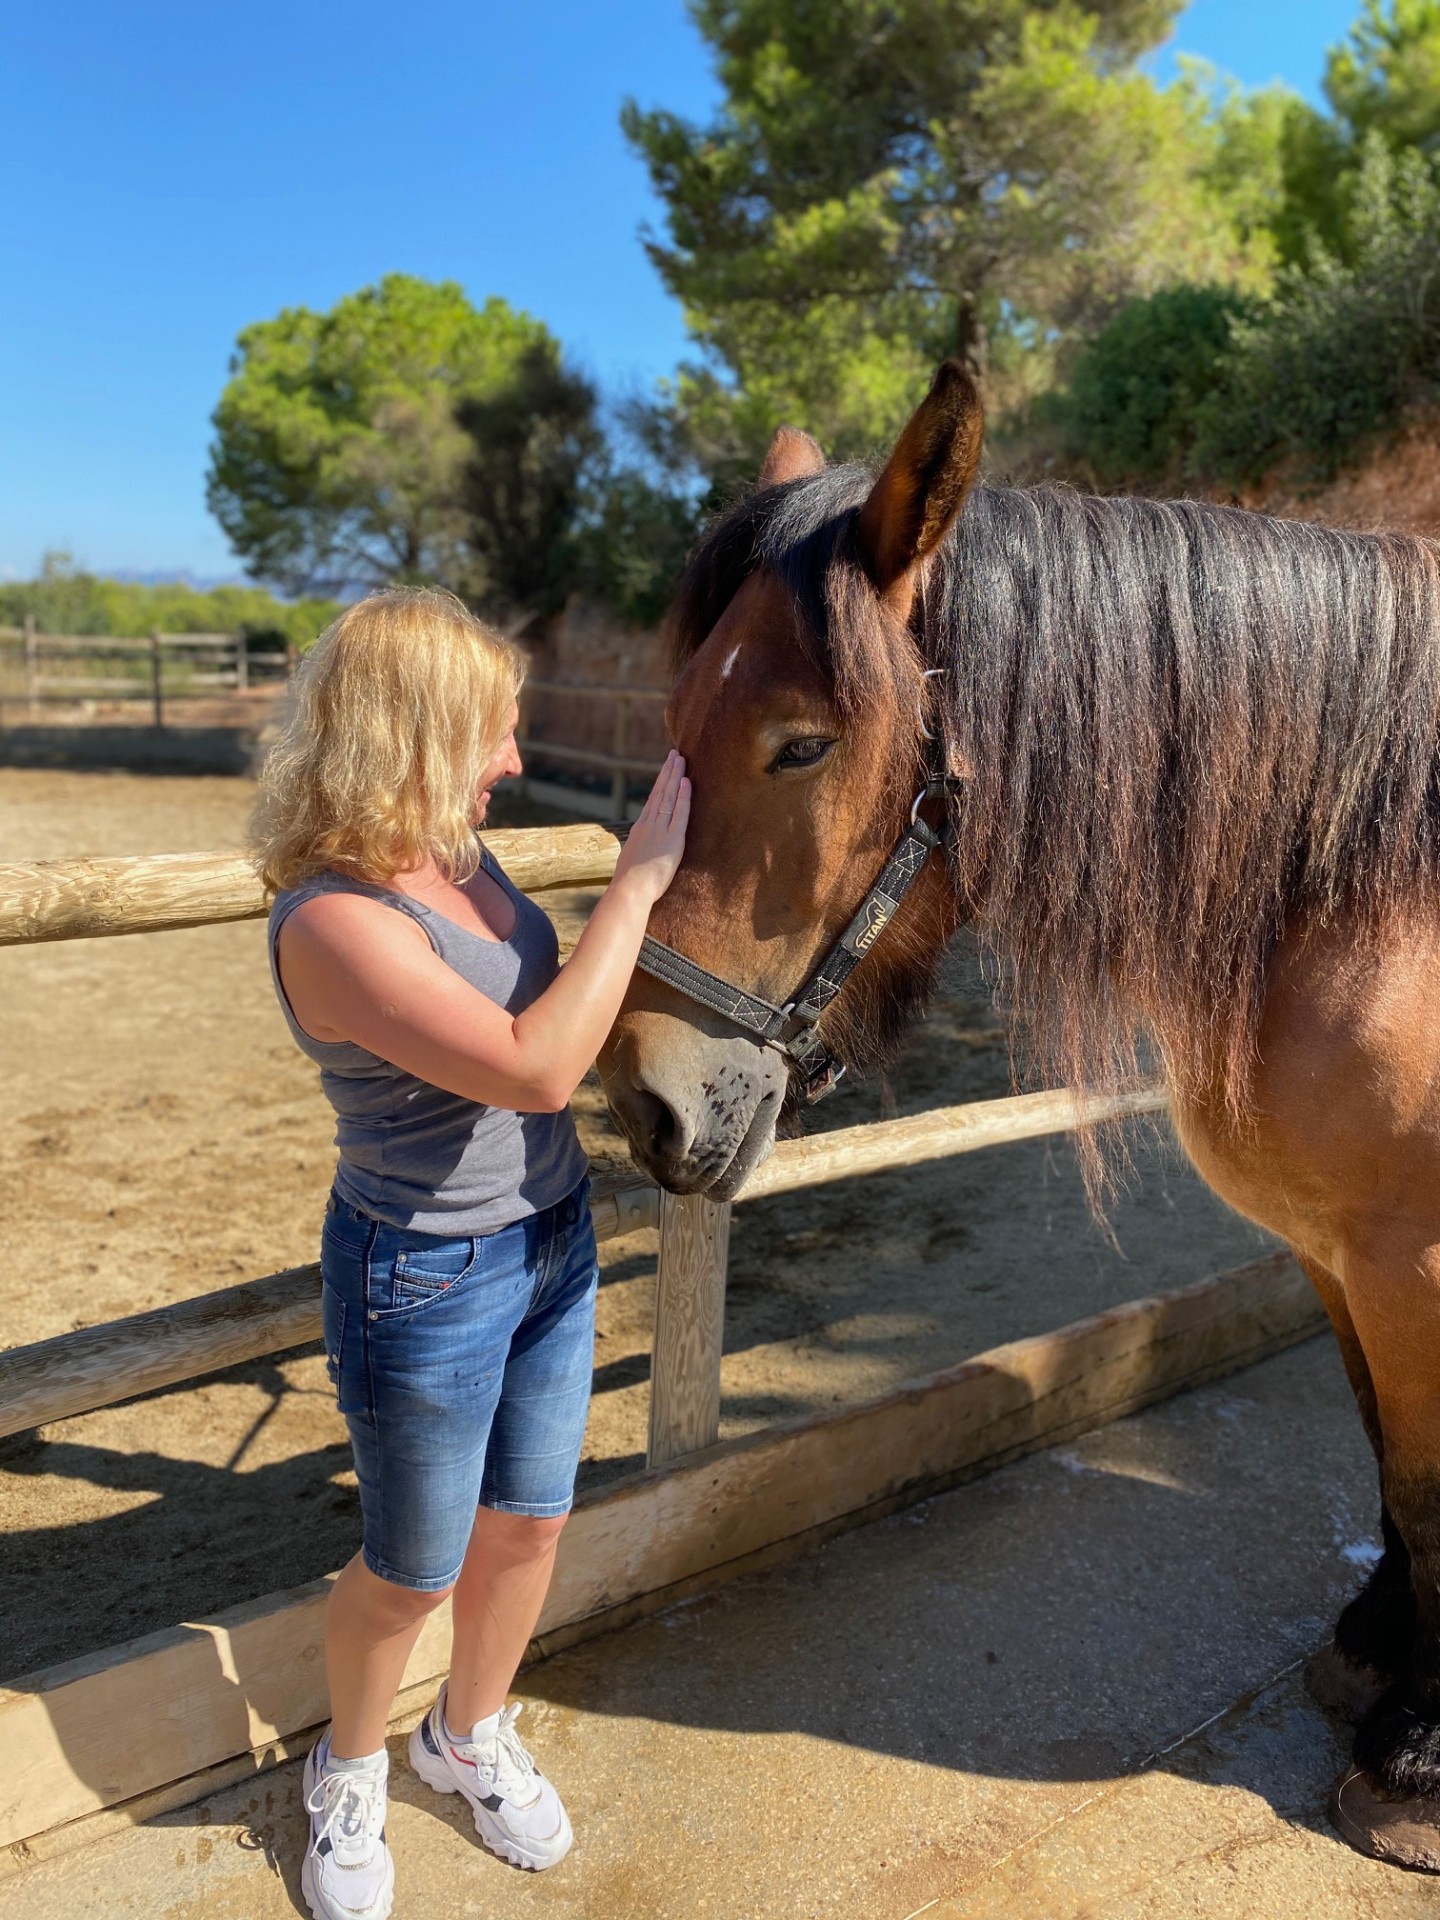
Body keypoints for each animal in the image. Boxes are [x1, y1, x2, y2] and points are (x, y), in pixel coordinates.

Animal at [597, 361, 1440, 1870]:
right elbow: (1393, 1468)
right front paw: (1375, 1665)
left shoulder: (1413, 1265)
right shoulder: (1340, 1258)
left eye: (802, 744)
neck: (1373, 895)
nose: (645, 1096)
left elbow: (1435, 1492)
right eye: (676, 714)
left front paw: (1418, 1766)